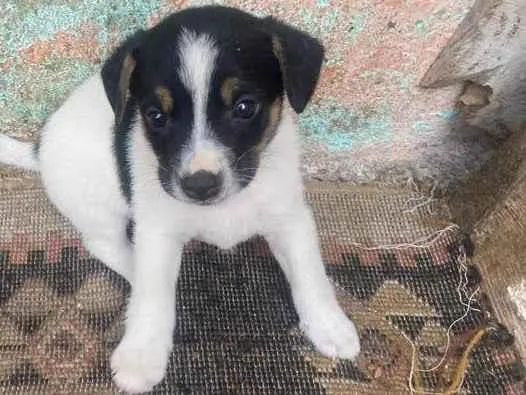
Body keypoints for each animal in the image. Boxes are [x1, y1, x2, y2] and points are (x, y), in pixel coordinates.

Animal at [0, 6, 360, 395]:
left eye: (245, 107)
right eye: (156, 116)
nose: (199, 185)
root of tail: (38, 147)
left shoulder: (290, 217)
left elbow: (310, 274)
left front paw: (329, 323)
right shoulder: (158, 230)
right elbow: (153, 296)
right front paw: (141, 354)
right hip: (99, 209)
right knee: (108, 247)